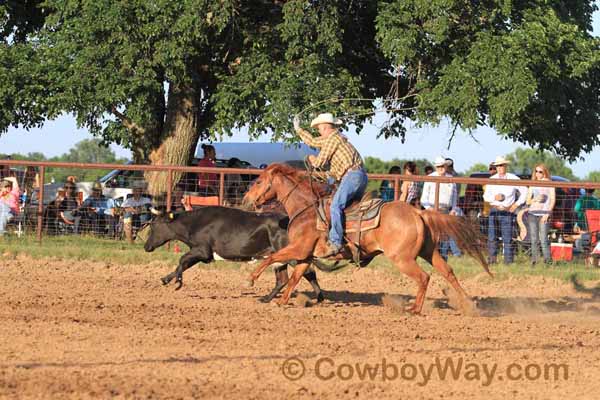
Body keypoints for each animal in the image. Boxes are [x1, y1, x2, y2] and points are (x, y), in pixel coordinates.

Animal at [241, 164, 490, 314]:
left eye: (259, 182)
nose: (245, 199)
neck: (306, 210)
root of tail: (417, 212)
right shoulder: (306, 255)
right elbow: (295, 277)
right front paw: (282, 301)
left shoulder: (299, 249)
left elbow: (271, 257)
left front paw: (251, 279)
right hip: (428, 251)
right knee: (447, 272)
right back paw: (468, 305)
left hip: (402, 259)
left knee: (424, 277)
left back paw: (414, 309)